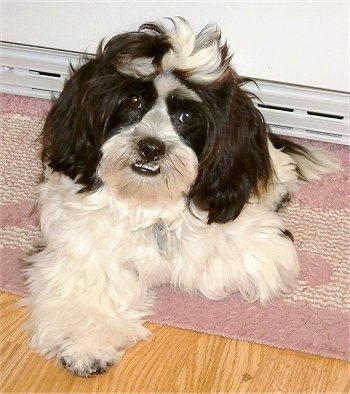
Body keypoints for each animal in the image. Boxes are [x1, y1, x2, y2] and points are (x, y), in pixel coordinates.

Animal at [22, 17, 340, 376]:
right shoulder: (80, 247)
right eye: (133, 102)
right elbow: (88, 291)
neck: (149, 201)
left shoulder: (256, 243)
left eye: (186, 117)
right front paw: (86, 345)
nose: (151, 147)